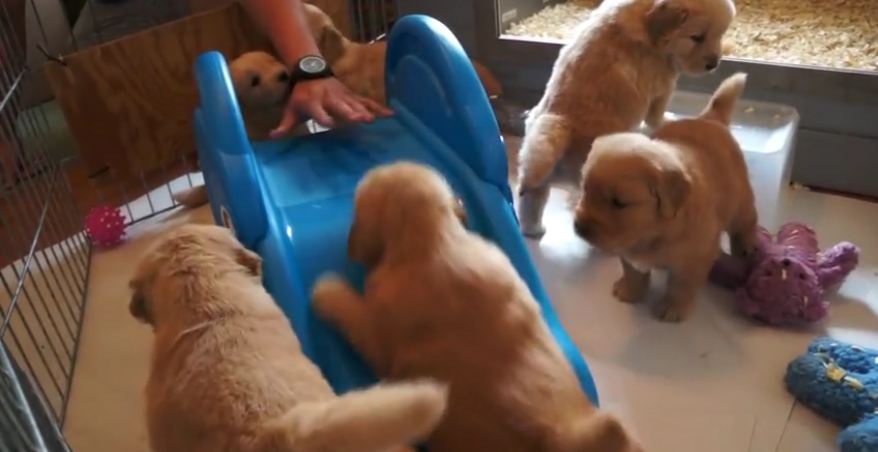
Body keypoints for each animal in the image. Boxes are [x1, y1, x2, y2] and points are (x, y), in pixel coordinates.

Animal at [520, 0, 740, 238]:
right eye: (697, 37)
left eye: (720, 34)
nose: (714, 64)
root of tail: (559, 121)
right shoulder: (663, 84)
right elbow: (656, 114)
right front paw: (665, 120)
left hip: (537, 164)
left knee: (531, 198)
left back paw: (533, 230)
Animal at [576, 73, 760, 322]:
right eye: (585, 189)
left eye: (619, 203)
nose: (578, 227)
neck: (656, 232)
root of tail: (709, 119)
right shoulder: (628, 249)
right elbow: (633, 272)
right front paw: (630, 291)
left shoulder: (693, 259)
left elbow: (681, 285)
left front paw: (672, 308)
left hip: (740, 198)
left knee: (746, 222)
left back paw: (746, 245)